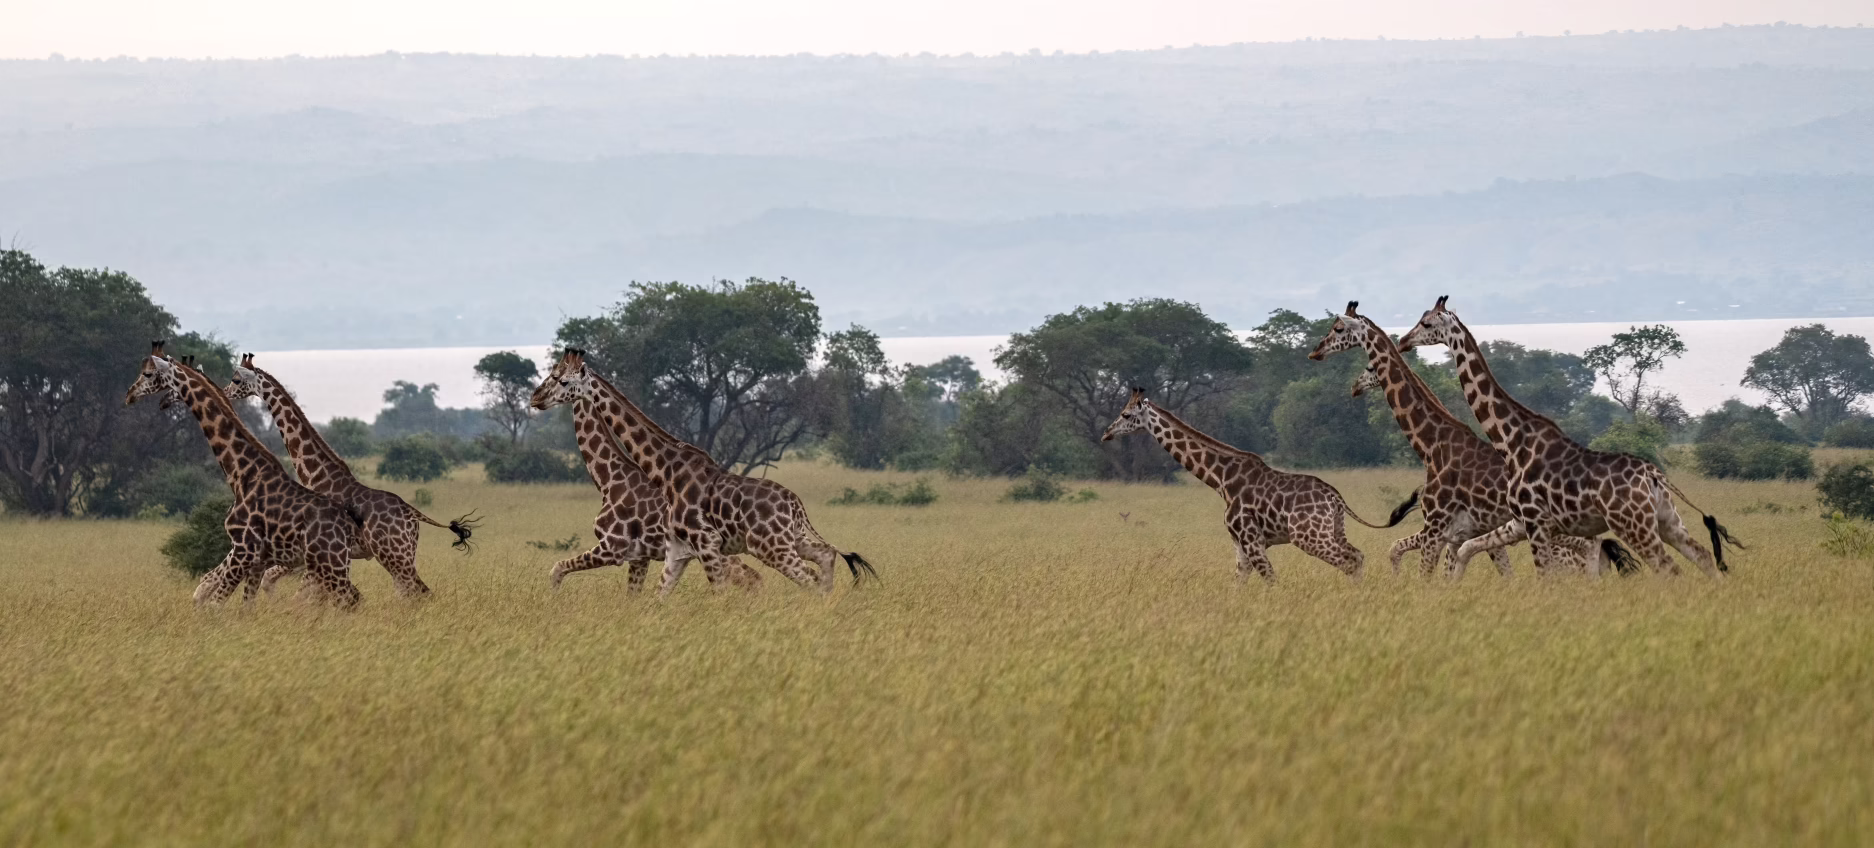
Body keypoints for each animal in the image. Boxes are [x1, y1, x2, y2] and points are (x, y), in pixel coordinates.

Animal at [126, 343, 365, 607]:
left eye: (149, 374)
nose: (129, 395)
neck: (243, 473)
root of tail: (346, 523)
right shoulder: (252, 556)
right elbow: (224, 594)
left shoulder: (244, 550)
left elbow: (214, 600)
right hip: (332, 560)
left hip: (329, 560)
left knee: (348, 597)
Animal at [224, 354, 477, 598]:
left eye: (236, 379)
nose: (226, 392)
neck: (316, 474)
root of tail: (412, 514)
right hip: (404, 552)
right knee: (406, 593)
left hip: (393, 554)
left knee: (420, 592)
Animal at [1101, 387, 1419, 580]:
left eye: (1126, 414)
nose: (1106, 433)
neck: (1220, 479)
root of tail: (1335, 498)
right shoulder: (1239, 543)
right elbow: (1239, 583)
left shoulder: (1251, 539)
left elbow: (1271, 580)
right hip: (1333, 530)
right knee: (1357, 555)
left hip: (1308, 536)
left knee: (1349, 560)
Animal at [1309, 302, 1618, 578]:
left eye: (1338, 328)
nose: (1315, 351)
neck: (1432, 446)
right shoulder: (1459, 534)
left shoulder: (1437, 528)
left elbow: (1413, 563)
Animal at [1397, 296, 1739, 576]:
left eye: (1426, 323)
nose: (1403, 340)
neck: (1510, 442)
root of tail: (1654, 475)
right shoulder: (1527, 523)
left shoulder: (1535, 522)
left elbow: (1545, 578)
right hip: (1666, 521)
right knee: (1702, 556)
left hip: (1633, 525)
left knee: (1669, 569)